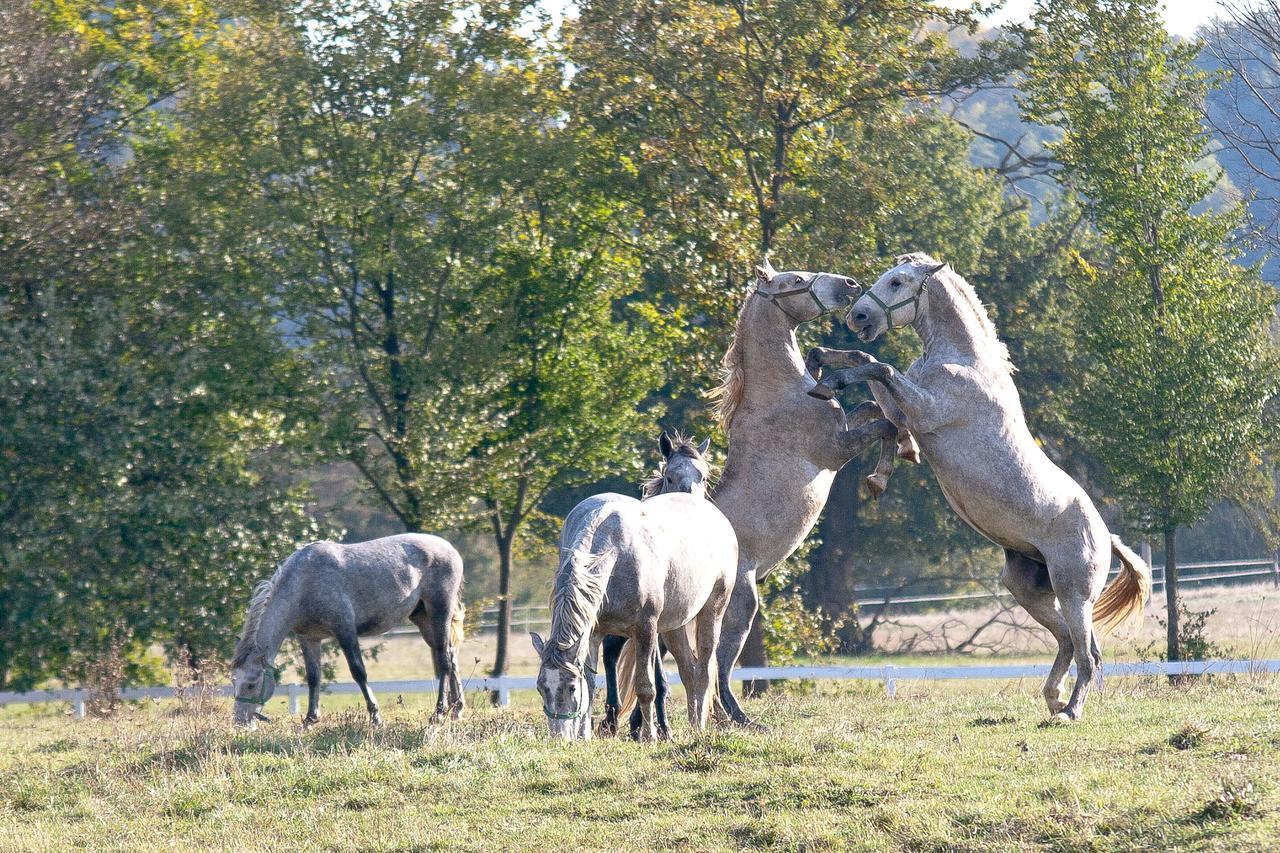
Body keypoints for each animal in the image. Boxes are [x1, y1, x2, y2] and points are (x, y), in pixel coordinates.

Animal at [230, 532, 465, 722]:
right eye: (234, 682)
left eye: (251, 683)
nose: (240, 721)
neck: (304, 584)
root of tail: (450, 549)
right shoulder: (309, 639)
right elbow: (313, 677)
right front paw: (310, 719)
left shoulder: (345, 631)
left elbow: (358, 672)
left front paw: (375, 716)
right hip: (423, 618)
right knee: (451, 656)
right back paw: (456, 709)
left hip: (439, 612)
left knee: (444, 660)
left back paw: (439, 713)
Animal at [529, 440, 737, 742]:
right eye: (540, 687)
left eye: (570, 687)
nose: (560, 738)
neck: (614, 550)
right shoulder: (594, 631)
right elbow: (591, 681)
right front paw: (585, 735)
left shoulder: (646, 629)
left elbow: (645, 685)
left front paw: (649, 735)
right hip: (674, 625)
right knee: (688, 670)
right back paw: (691, 724)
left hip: (713, 610)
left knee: (704, 669)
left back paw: (696, 726)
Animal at [701, 256, 901, 722]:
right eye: (794, 280)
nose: (850, 284)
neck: (780, 392)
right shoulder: (836, 450)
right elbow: (885, 424)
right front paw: (879, 478)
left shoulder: (844, 429)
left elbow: (873, 408)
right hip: (741, 605)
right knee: (719, 662)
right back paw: (741, 718)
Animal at [808, 251, 1152, 717]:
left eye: (897, 282)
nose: (857, 315)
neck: (962, 360)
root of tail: (1106, 536)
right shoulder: (904, 409)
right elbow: (875, 389)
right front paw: (822, 361)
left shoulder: (925, 409)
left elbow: (879, 368)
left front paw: (830, 382)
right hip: (1027, 588)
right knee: (1066, 641)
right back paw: (1053, 698)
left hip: (1074, 592)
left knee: (1089, 653)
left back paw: (1070, 710)